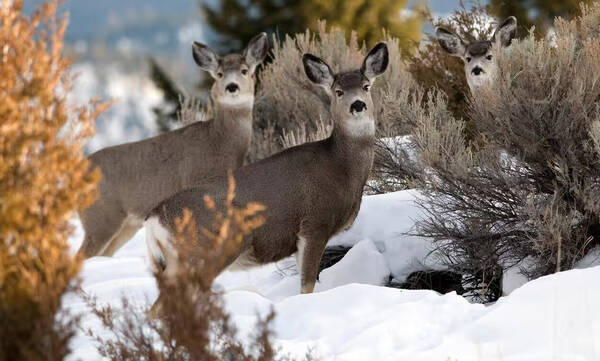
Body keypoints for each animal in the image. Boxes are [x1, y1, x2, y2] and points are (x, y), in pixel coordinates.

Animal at [77, 33, 268, 258]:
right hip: (100, 215)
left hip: (126, 225)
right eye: (220, 74)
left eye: (244, 70)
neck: (218, 142)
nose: (232, 86)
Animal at [145, 40, 390, 302]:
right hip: (201, 253)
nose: (358, 105)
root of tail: (154, 220)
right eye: (338, 91)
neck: (341, 167)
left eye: (366, 86)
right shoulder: (314, 223)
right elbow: (307, 286)